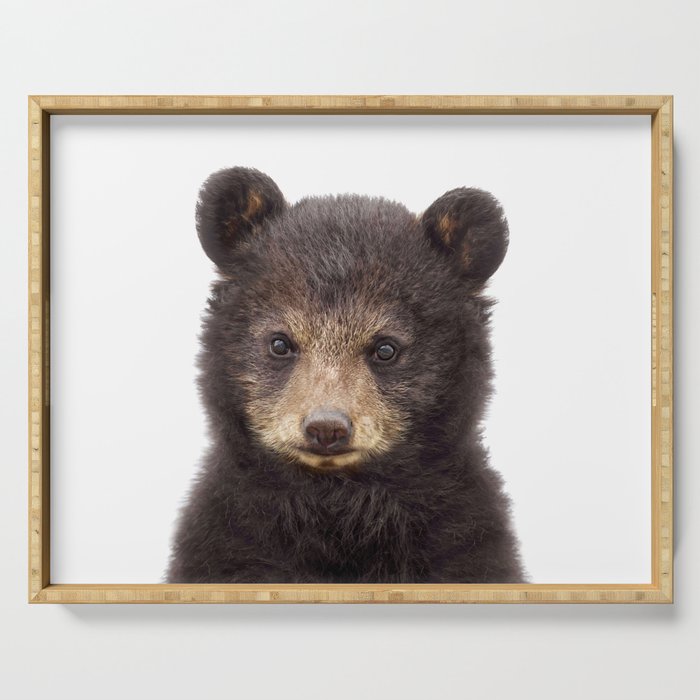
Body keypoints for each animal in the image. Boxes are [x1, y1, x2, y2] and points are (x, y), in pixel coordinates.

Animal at [166, 166, 525, 584]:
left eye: (385, 348)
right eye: (280, 343)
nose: (326, 428)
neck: (340, 508)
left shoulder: (464, 544)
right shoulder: (227, 542)